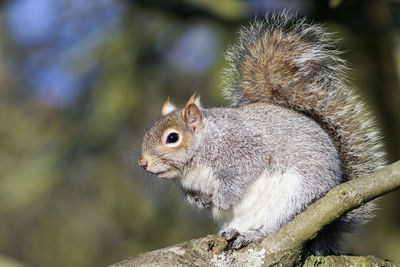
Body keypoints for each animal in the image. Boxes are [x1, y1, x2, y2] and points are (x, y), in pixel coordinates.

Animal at [137, 11, 384, 256]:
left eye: (172, 138)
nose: (143, 163)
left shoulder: (241, 149)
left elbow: (241, 175)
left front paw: (221, 200)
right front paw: (201, 202)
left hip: (297, 200)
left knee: (277, 227)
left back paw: (251, 235)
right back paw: (234, 232)